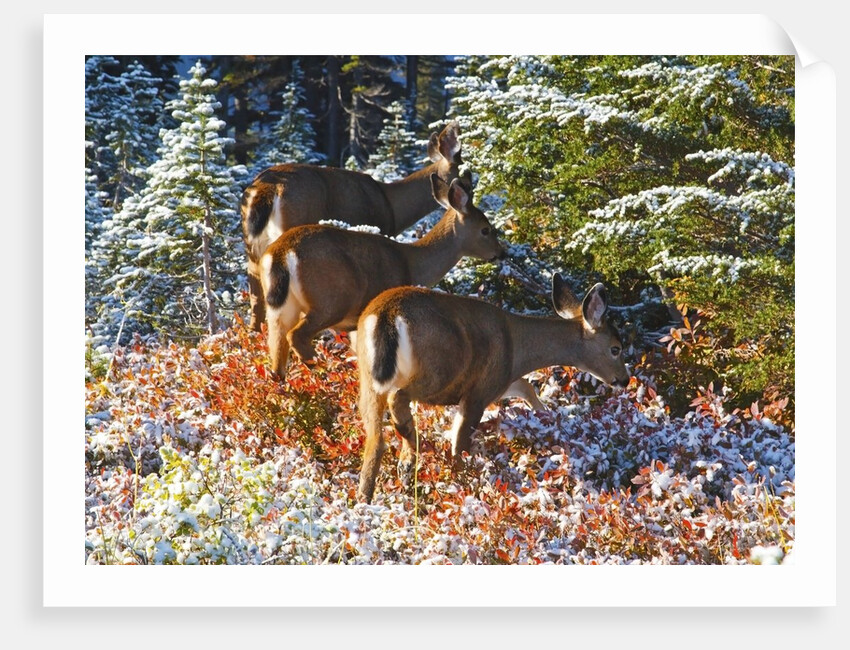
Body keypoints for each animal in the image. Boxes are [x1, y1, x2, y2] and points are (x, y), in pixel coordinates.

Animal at [259, 175, 506, 379]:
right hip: (330, 300)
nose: (501, 253)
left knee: (276, 356)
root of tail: (281, 252)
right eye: (486, 229)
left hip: (281, 307)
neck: (412, 262)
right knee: (297, 336)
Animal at [354, 276, 631, 503]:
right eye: (615, 348)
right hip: (438, 370)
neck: (517, 349)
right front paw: (461, 483)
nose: (624, 380)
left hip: (368, 379)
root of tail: (387, 314)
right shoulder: (481, 390)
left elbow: (526, 386)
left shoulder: (501, 382)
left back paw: (369, 495)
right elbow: (459, 446)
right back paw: (409, 450)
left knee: (375, 440)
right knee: (398, 397)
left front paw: (546, 417)